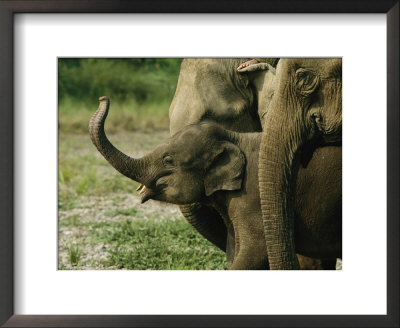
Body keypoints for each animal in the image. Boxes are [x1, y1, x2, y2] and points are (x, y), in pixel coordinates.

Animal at [88, 96, 340, 270]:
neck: (233, 137)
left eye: (168, 160)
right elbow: (234, 247)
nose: (102, 98)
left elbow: (254, 251)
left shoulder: (253, 196)